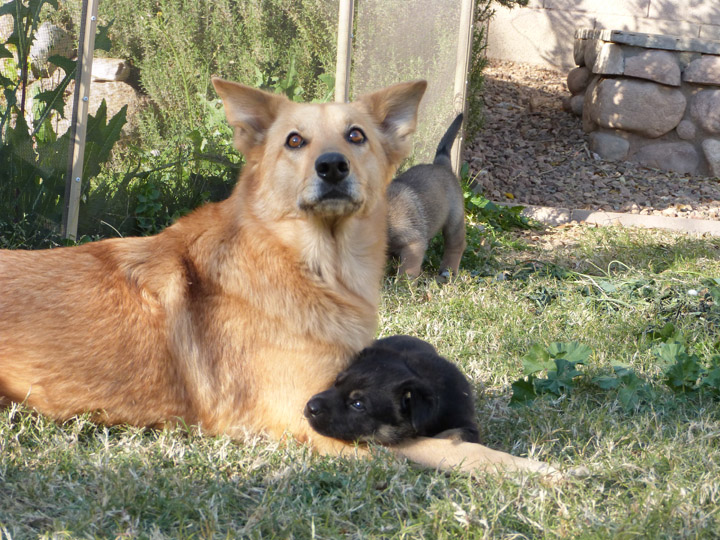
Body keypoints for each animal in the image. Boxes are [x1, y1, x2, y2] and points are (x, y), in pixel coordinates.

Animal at [388, 112, 466, 278]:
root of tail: (441, 164)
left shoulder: (414, 243)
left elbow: (407, 271)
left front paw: (403, 284)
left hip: (454, 221)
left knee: (456, 245)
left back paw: (447, 272)